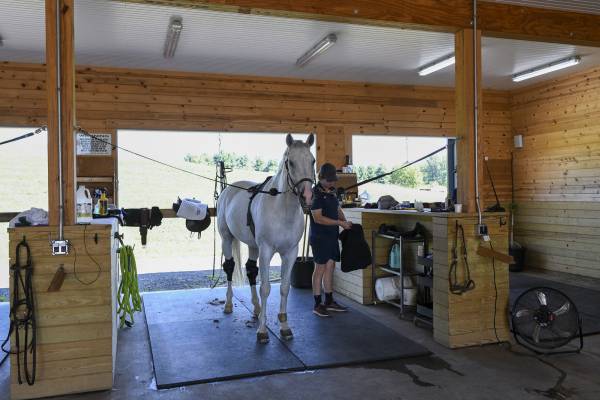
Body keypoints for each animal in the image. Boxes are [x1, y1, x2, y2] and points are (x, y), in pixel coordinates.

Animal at [218, 133, 316, 342]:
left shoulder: (290, 253)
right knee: (230, 267)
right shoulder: (266, 251)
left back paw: (256, 308)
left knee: (250, 270)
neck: (282, 210)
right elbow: (265, 288)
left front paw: (285, 326)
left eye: (312, 160)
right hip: (227, 239)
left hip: (253, 246)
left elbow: (284, 288)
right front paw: (262, 331)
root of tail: (227, 190)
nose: (307, 196)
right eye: (290, 162)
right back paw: (228, 304)